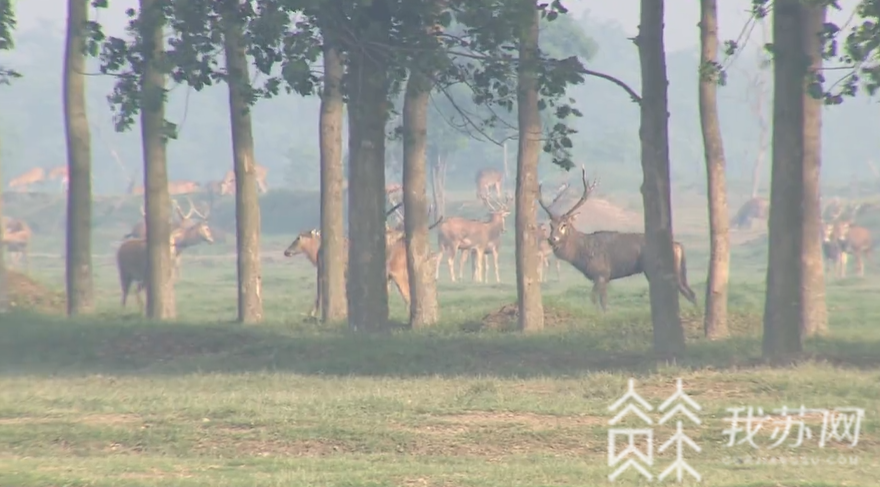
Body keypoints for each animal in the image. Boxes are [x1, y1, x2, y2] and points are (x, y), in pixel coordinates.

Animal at [538, 166, 697, 312]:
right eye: (551, 225)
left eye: (564, 225)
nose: (552, 239)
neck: (582, 254)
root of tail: (679, 246)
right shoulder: (599, 277)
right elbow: (596, 300)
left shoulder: (602, 273)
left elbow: (601, 302)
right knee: (690, 292)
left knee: (686, 292)